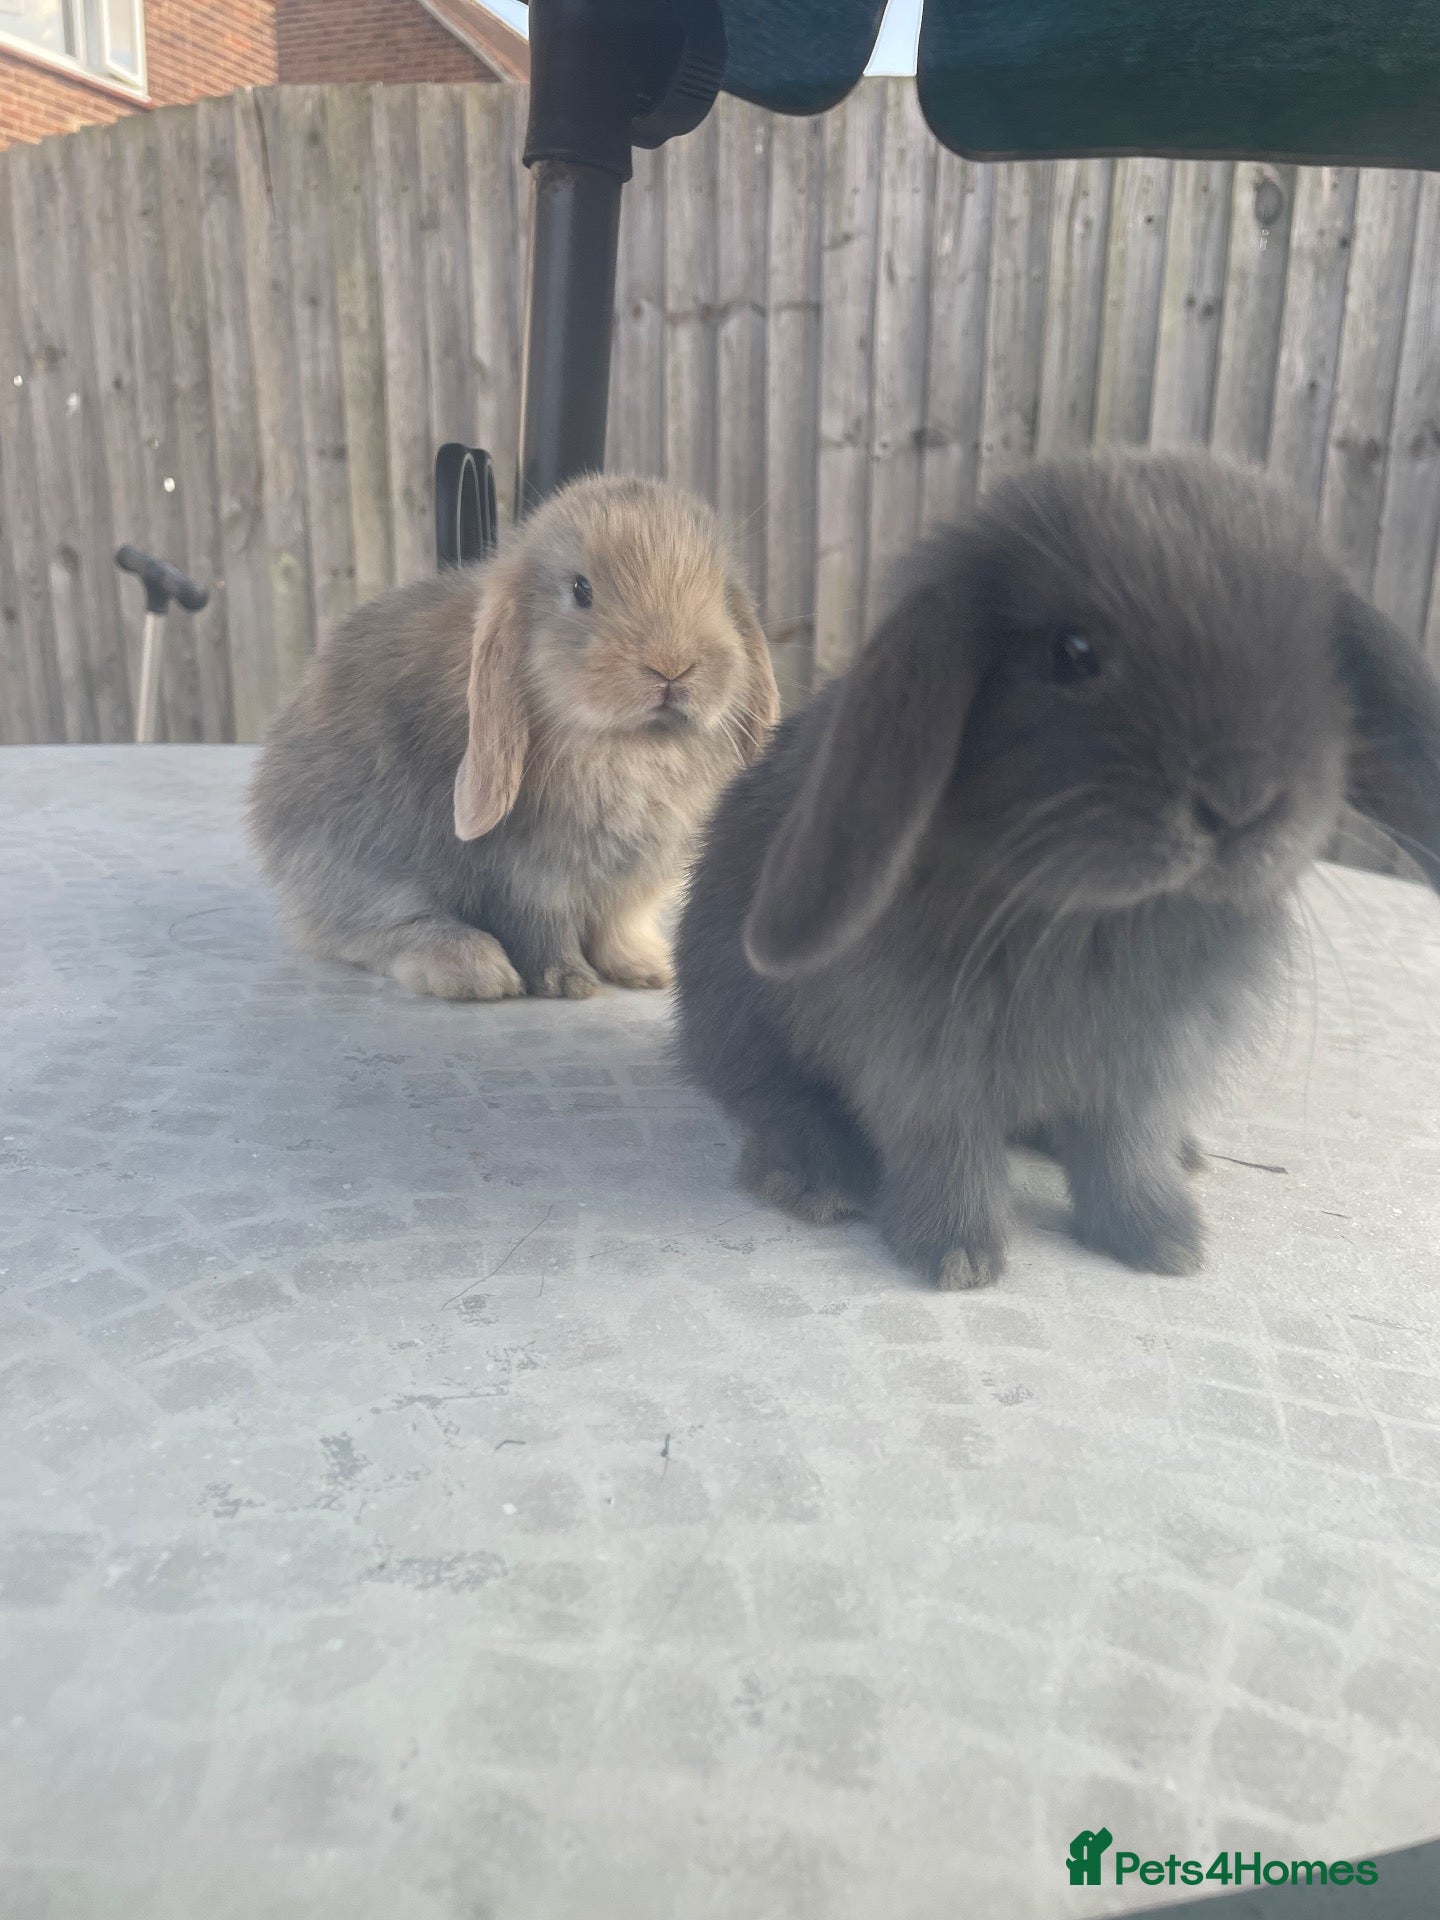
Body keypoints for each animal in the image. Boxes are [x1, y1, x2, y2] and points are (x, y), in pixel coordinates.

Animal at [250, 474, 780, 1002]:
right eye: (581, 589)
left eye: (719, 591)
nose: (672, 665)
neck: (632, 745)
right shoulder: (531, 880)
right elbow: (544, 932)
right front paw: (569, 982)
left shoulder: (630, 883)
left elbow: (617, 927)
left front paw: (648, 969)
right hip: (362, 867)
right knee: (374, 931)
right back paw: (475, 969)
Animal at [675, 450, 1440, 1289]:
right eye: (1071, 654)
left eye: (1323, 657)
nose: (1244, 803)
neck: (1093, 914)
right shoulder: (925, 1062)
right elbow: (952, 1152)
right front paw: (958, 1255)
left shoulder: (1145, 1074)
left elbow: (1124, 1154)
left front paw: (1163, 1241)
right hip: (739, 1009)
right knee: (761, 1088)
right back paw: (816, 1175)